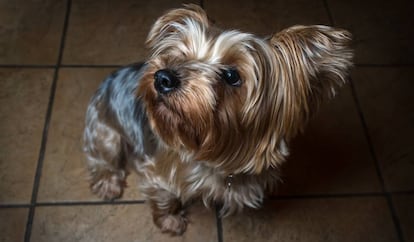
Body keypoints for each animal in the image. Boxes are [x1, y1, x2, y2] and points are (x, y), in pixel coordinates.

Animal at [83, 3, 352, 234]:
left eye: (232, 76)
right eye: (180, 54)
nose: (163, 78)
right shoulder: (158, 173)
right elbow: (164, 197)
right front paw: (170, 221)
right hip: (103, 129)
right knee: (103, 157)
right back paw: (108, 184)